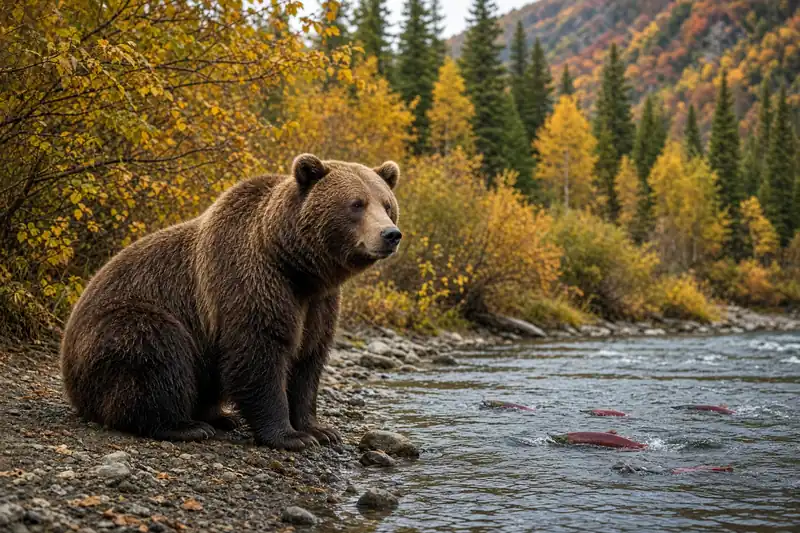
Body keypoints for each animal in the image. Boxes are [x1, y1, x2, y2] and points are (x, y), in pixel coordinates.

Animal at [60, 154, 402, 451]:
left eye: (387, 205)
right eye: (356, 204)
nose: (391, 234)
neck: (294, 264)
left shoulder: (319, 303)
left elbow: (308, 360)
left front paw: (318, 429)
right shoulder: (250, 281)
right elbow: (258, 354)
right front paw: (289, 436)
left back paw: (219, 417)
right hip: (123, 322)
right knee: (155, 350)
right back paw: (184, 426)